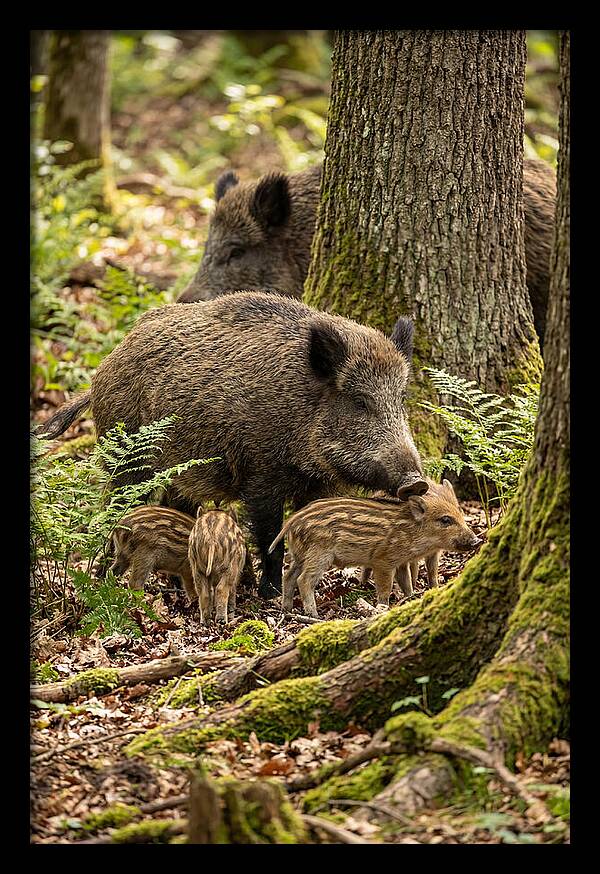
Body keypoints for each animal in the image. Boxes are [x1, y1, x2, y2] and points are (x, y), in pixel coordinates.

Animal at [35, 291, 425, 600]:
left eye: (400, 398)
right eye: (359, 401)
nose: (416, 482)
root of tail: (103, 367)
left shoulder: (317, 485)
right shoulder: (261, 476)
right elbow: (270, 536)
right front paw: (269, 594)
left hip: (178, 469)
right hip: (128, 457)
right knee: (115, 508)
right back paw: (104, 578)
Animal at [270, 484, 481, 618]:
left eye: (460, 514)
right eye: (445, 519)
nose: (477, 540)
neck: (412, 530)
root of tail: (292, 521)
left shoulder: (401, 562)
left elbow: (405, 582)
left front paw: (410, 598)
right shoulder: (383, 561)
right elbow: (385, 588)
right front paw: (383, 607)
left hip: (300, 555)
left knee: (288, 576)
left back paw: (286, 609)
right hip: (319, 554)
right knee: (304, 580)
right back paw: (313, 615)